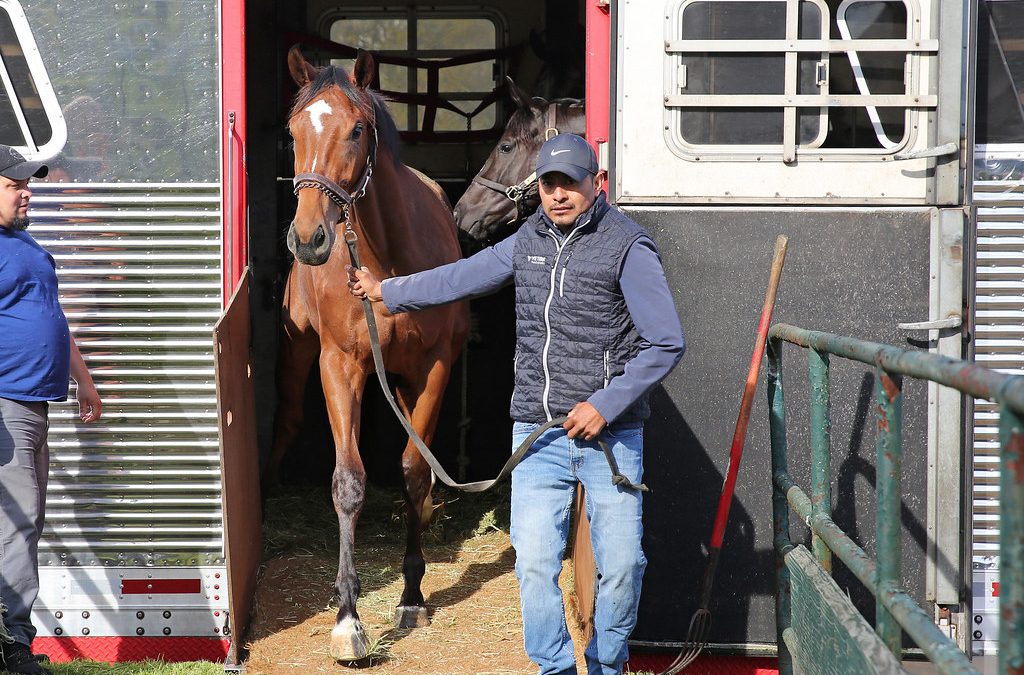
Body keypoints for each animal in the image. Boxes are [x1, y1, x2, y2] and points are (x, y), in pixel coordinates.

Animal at [268, 45, 469, 661]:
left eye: (357, 129)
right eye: (293, 130)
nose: (308, 238)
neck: (388, 259)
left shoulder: (433, 369)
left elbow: (413, 471)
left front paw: (410, 594)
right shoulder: (340, 366)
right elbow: (348, 481)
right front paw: (348, 619)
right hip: (298, 360)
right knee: (288, 419)